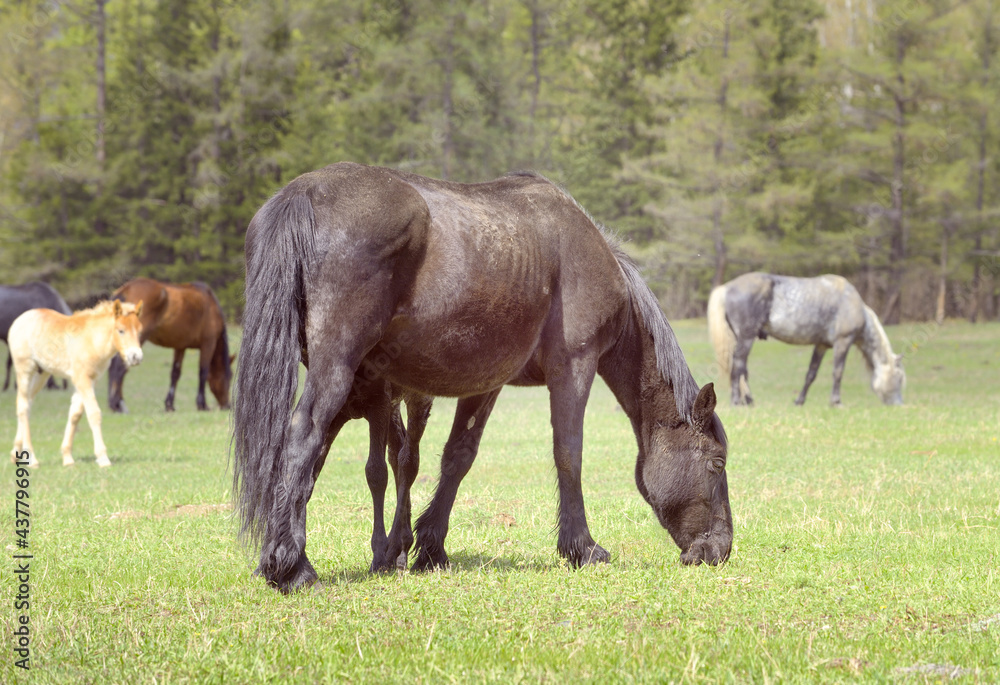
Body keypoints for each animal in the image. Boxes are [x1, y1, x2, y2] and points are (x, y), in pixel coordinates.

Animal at [8, 302, 143, 468]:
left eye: (140, 331)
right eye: (121, 330)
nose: (136, 357)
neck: (92, 340)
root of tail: (20, 319)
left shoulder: (90, 380)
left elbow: (75, 414)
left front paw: (67, 458)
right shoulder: (82, 379)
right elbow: (94, 413)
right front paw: (103, 458)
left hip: (42, 374)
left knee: (27, 404)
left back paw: (16, 453)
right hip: (25, 370)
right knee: (23, 406)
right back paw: (32, 458)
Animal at [108, 276, 233, 412]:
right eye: (230, 376)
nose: (227, 405)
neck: (211, 306)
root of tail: (126, 289)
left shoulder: (180, 347)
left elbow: (175, 373)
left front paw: (169, 405)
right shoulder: (208, 344)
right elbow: (203, 372)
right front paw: (202, 404)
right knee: (120, 367)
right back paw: (119, 404)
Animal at [234, 163, 736, 592]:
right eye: (717, 463)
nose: (721, 549)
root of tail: (303, 192)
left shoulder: (487, 384)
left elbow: (458, 457)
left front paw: (430, 546)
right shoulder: (574, 367)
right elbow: (568, 454)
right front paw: (582, 547)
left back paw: (277, 559)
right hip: (336, 371)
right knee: (303, 437)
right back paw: (295, 569)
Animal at [704, 272, 908, 406]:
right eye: (899, 379)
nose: (899, 404)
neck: (852, 304)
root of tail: (727, 287)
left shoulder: (821, 345)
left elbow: (811, 374)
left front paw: (799, 400)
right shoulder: (843, 342)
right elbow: (838, 372)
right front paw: (836, 401)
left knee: (742, 369)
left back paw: (749, 399)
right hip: (746, 337)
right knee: (738, 365)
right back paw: (737, 400)